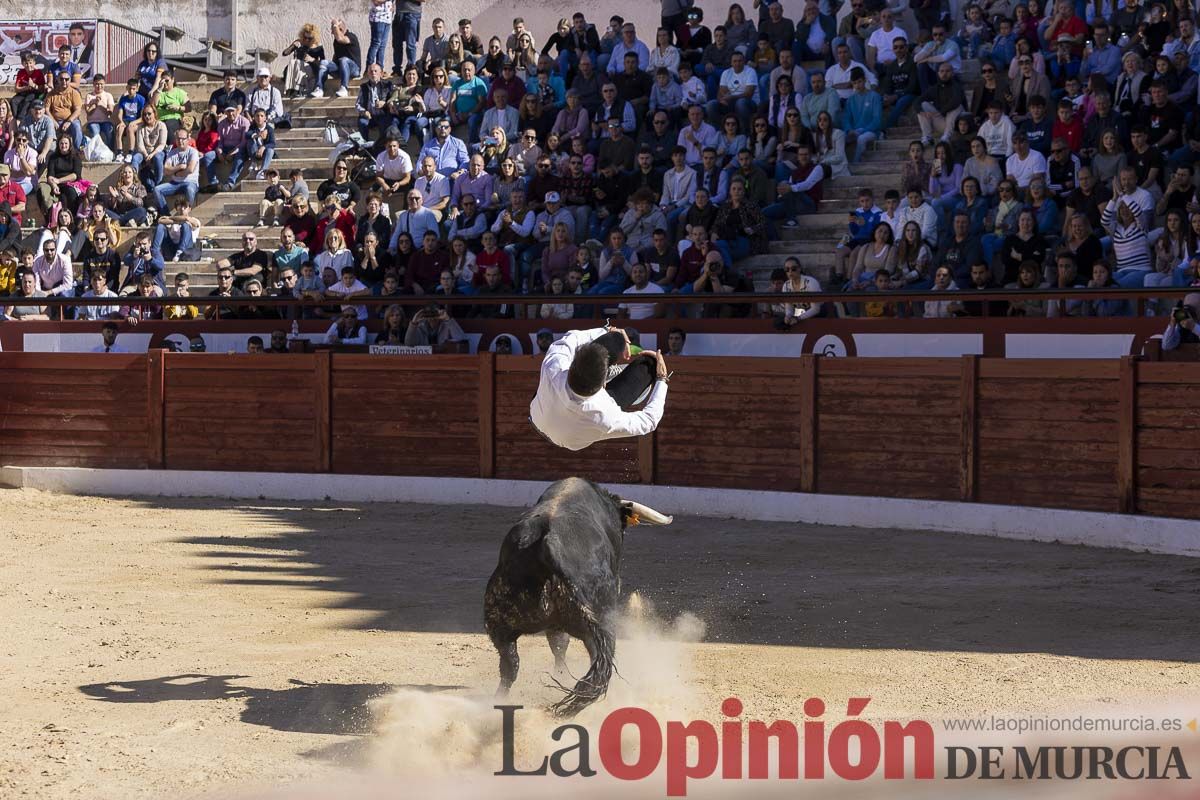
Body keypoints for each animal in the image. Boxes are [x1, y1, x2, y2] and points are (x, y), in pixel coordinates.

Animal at [487, 479, 676, 714]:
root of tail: (547, 544)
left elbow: (558, 645)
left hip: (499, 619)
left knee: (510, 663)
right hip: (600, 623)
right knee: (598, 667)